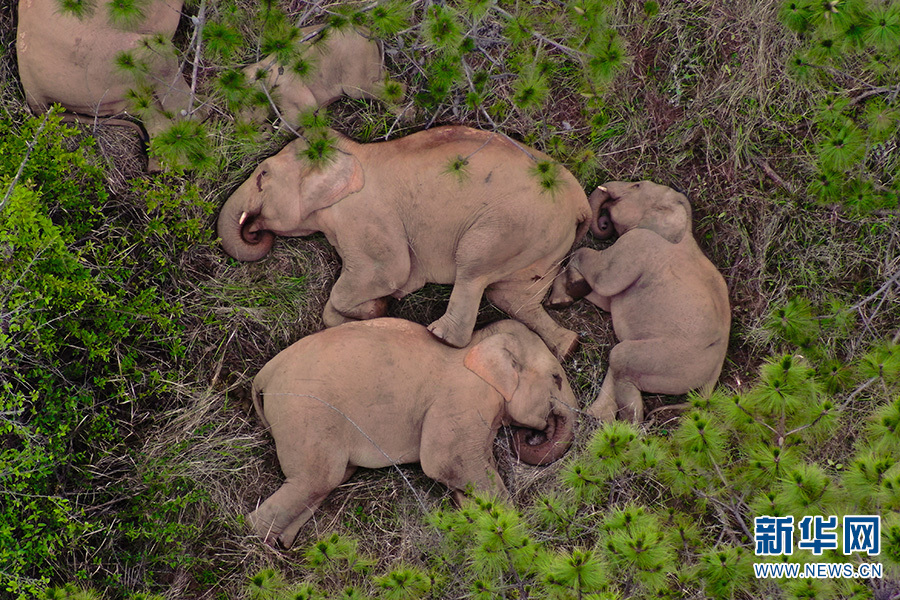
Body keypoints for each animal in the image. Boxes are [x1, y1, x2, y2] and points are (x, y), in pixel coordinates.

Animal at [219, 126, 596, 358]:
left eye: (262, 176)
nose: (255, 230)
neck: (353, 152)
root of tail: (582, 204)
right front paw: (374, 310)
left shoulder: (367, 216)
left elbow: (389, 272)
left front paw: (378, 306)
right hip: (545, 242)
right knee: (513, 296)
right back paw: (568, 346)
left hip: (512, 222)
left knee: (474, 269)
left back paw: (439, 335)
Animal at [243, 25, 394, 127]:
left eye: (252, 107)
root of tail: (368, 31)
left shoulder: (286, 86)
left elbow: (303, 110)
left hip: (356, 60)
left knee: (358, 90)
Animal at [246, 318, 576, 548]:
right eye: (557, 378)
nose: (532, 434)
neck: (479, 342)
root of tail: (265, 374)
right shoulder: (463, 397)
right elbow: (446, 462)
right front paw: (515, 535)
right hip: (305, 412)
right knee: (318, 478)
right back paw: (253, 538)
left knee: (324, 481)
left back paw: (280, 544)